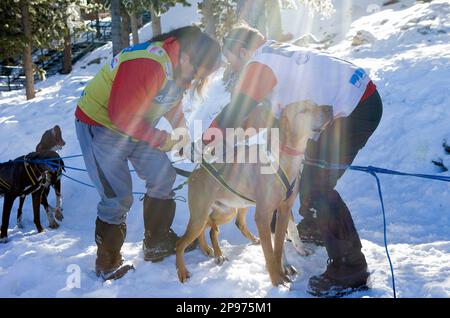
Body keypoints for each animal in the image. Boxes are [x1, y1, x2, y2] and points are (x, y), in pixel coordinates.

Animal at [176, 102, 326, 286]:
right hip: (200, 216)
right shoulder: (264, 214)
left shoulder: (284, 207)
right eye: (304, 110)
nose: (330, 109)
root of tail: (196, 172)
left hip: (225, 212)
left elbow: (288, 234)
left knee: (213, 229)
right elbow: (272, 248)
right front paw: (279, 275)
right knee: (181, 243)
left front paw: (298, 253)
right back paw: (184, 271)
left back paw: (213, 250)